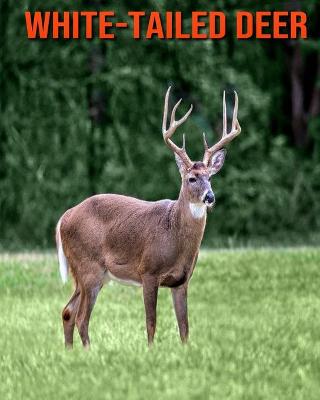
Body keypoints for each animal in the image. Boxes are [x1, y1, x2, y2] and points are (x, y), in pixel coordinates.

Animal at [55, 86, 240, 348]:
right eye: (191, 178)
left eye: (211, 177)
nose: (210, 197)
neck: (174, 237)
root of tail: (65, 216)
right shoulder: (148, 272)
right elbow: (151, 323)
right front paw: (151, 351)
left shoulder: (182, 280)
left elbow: (184, 327)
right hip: (88, 266)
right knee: (81, 317)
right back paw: (88, 352)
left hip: (89, 274)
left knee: (67, 312)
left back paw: (70, 352)